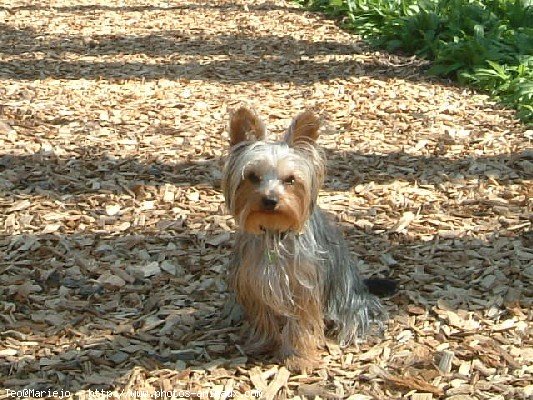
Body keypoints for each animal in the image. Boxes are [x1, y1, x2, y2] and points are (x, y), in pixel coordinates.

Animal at [220, 108, 390, 370]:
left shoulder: (303, 285)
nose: (270, 200)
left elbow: (302, 322)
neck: (275, 233)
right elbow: (262, 313)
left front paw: (298, 357)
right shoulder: (252, 280)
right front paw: (264, 343)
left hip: (349, 300)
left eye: (290, 179)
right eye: (253, 176)